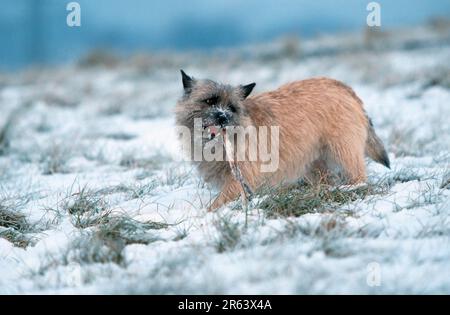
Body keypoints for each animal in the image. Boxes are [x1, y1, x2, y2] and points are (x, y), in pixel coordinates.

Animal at [176, 70, 390, 211]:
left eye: (231, 107)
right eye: (209, 101)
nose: (223, 117)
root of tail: (342, 86)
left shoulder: (242, 177)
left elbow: (218, 203)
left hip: (343, 150)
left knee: (358, 174)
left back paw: (354, 188)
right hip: (314, 162)